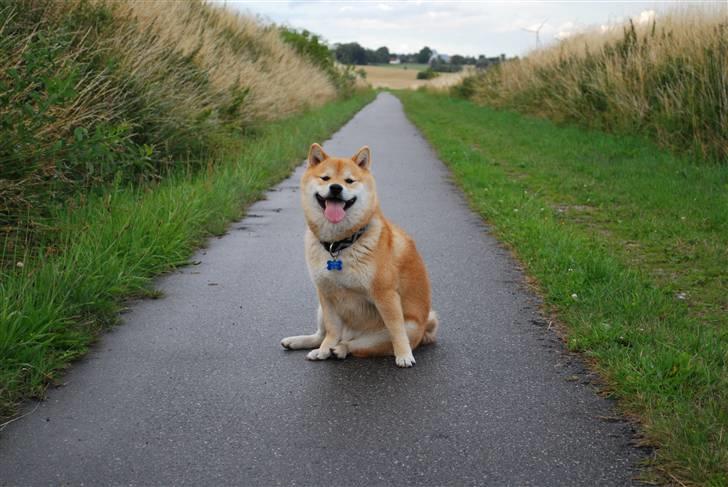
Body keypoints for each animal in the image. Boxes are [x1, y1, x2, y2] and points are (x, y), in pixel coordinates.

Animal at [280, 143, 438, 368]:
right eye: (325, 178)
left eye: (349, 181)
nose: (336, 188)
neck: (338, 245)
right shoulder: (326, 294)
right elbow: (332, 329)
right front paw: (324, 349)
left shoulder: (385, 295)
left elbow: (396, 330)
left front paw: (404, 355)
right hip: (320, 310)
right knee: (323, 335)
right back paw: (310, 345)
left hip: (399, 330)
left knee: (355, 345)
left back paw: (339, 349)